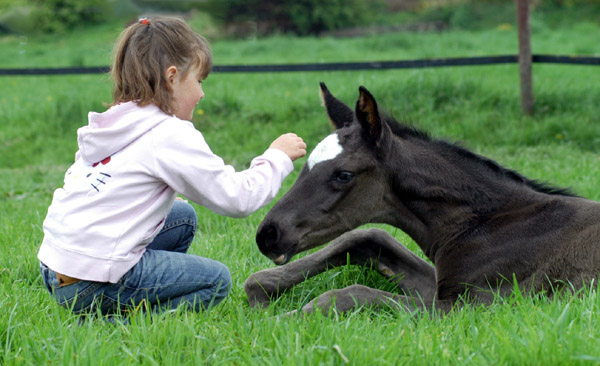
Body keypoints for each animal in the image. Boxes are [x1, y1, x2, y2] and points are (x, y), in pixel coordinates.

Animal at [244, 83, 600, 314]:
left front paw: (278, 321)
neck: (486, 225)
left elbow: (346, 294)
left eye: (343, 174)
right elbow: (368, 237)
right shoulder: (440, 287)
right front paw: (261, 293)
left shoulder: (487, 304)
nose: (268, 234)